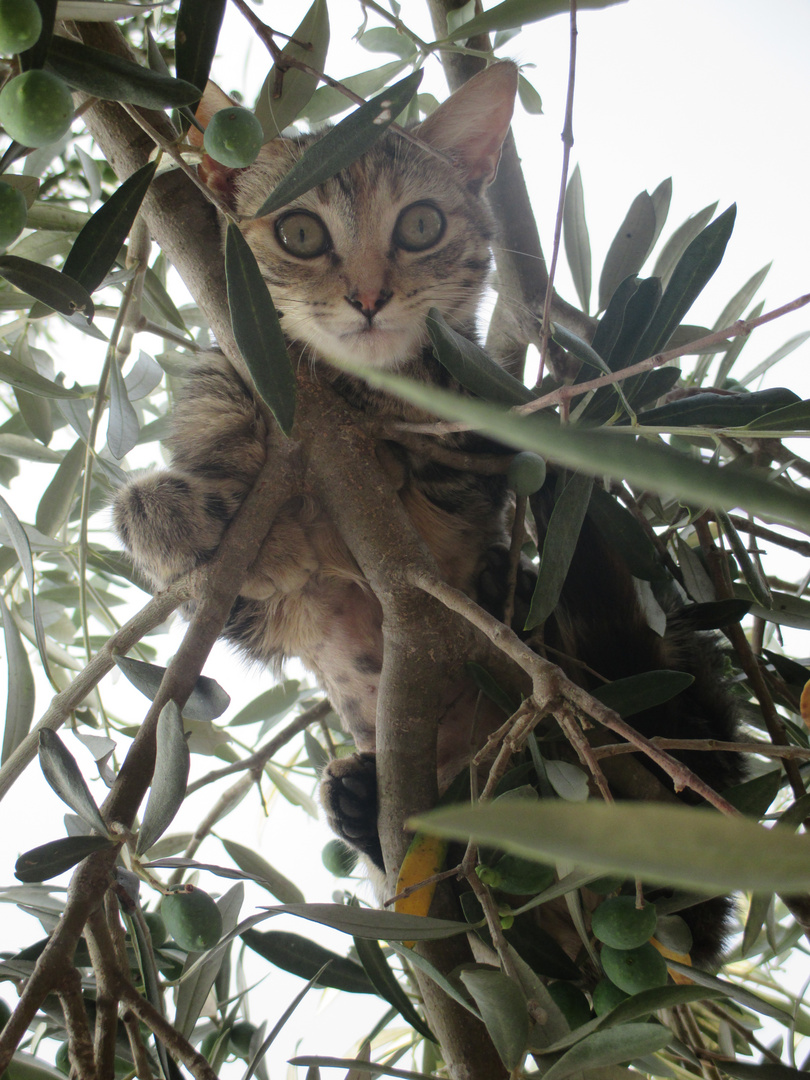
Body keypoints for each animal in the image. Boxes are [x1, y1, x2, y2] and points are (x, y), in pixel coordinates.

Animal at [114, 61, 743, 963]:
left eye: (420, 224)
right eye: (300, 233)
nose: (369, 296)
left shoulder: (469, 462)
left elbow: (428, 472)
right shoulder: (269, 605)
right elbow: (200, 510)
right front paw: (195, 500)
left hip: (629, 684)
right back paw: (359, 803)